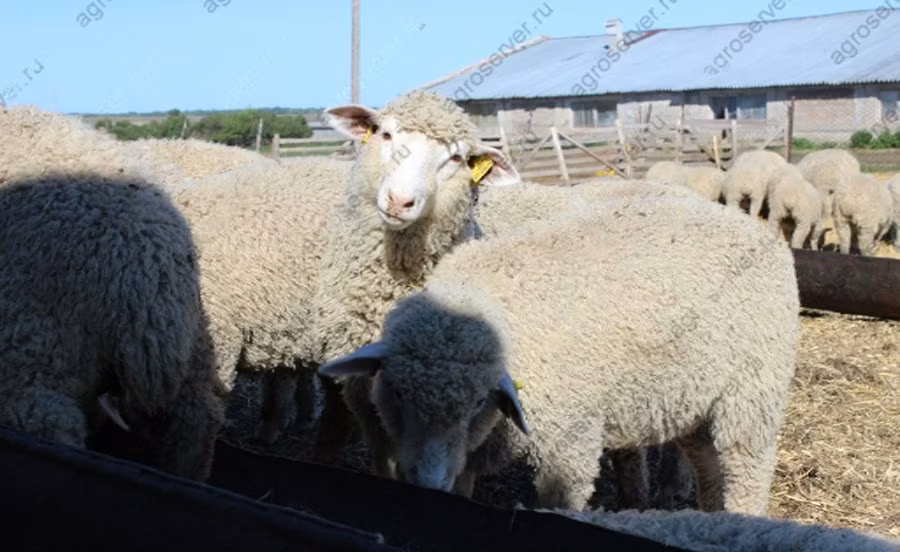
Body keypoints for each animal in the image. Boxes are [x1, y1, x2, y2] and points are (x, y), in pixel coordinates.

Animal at [319, 191, 800, 514]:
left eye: (477, 402)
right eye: (397, 392)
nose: (426, 480)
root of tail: (754, 228)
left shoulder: (568, 441)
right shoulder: (473, 448)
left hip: (753, 389)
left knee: (747, 468)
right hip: (694, 398)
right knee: (708, 464)